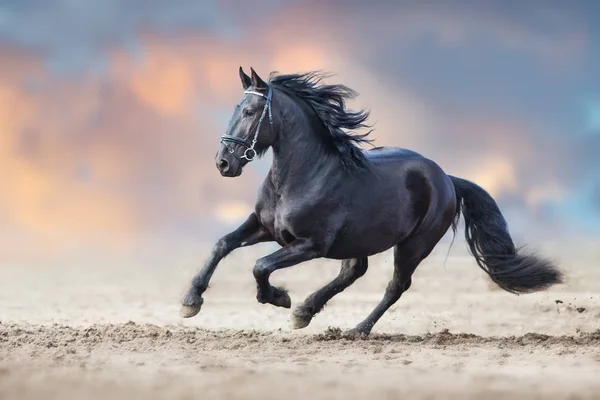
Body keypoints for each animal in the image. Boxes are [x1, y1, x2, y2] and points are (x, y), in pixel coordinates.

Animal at [180, 67, 564, 336]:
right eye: (236, 108)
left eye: (249, 112)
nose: (223, 163)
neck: (301, 176)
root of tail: (447, 178)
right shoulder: (264, 226)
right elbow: (222, 244)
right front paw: (190, 302)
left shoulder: (311, 244)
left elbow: (260, 266)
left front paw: (280, 298)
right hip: (359, 240)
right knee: (354, 271)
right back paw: (306, 312)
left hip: (413, 245)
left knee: (395, 286)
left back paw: (353, 328)